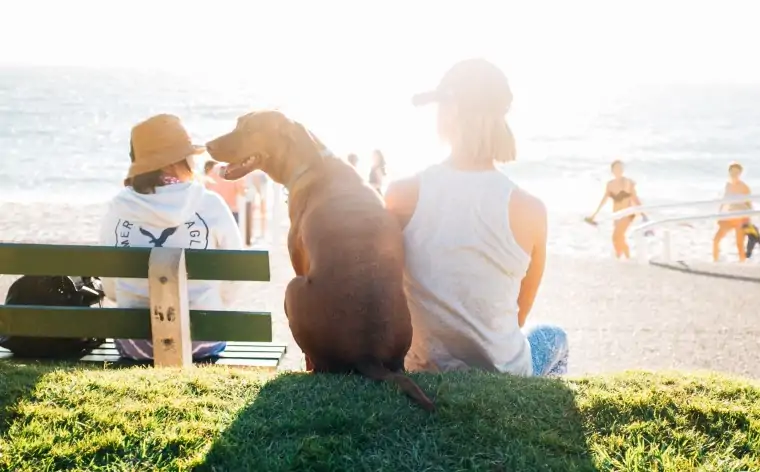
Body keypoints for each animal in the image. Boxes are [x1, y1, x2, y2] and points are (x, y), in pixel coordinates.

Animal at [206, 112, 434, 412]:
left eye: (250, 129)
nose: (207, 145)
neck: (312, 162)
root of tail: (368, 355)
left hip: (292, 289)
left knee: (317, 363)